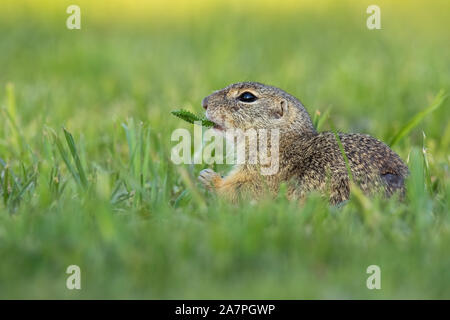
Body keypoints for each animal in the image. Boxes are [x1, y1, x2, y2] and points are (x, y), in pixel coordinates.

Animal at [199, 81, 410, 204]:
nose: (204, 102)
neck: (283, 140)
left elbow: (242, 190)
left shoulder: (264, 172)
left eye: (247, 97)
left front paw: (209, 178)